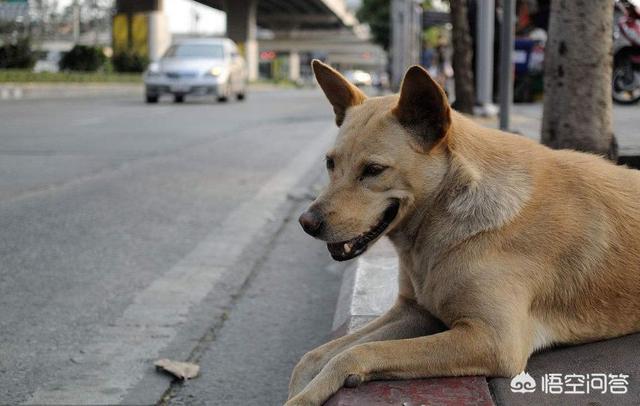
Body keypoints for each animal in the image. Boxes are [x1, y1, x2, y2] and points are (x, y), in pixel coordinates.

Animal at [288, 61, 640, 406]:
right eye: (330, 163)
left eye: (373, 170)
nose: (306, 222)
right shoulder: (414, 311)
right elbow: (314, 355)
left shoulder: (492, 339)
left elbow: (356, 352)